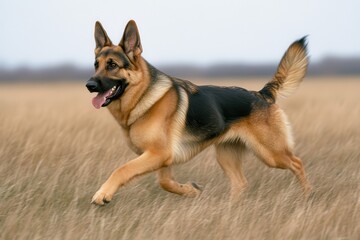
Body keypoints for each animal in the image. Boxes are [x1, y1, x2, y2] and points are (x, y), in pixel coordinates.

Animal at [86, 19, 310, 205]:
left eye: (112, 65)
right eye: (96, 65)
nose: (89, 85)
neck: (143, 97)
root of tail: (262, 94)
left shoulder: (158, 154)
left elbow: (122, 169)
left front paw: (103, 194)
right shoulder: (161, 159)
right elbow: (165, 183)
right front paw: (191, 190)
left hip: (271, 154)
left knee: (297, 163)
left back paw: (307, 195)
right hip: (227, 156)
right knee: (240, 183)